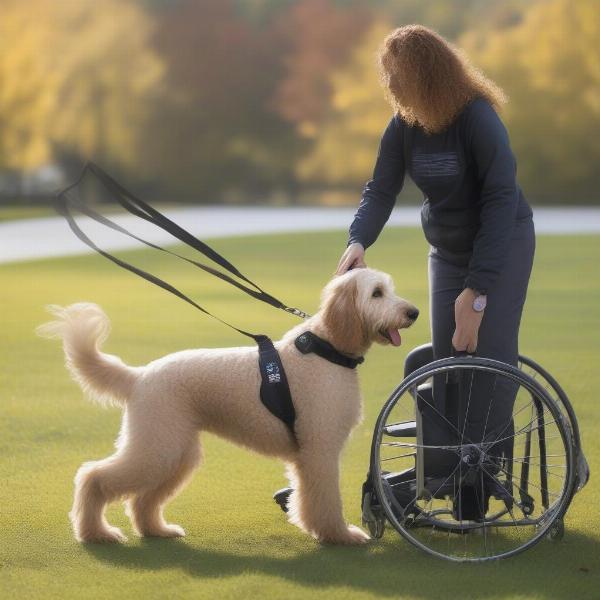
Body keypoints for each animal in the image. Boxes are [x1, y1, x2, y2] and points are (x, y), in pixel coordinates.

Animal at [38, 268, 418, 544]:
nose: (413, 312)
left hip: (175, 454)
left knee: (141, 500)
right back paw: (95, 533)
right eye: (376, 293)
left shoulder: (308, 455)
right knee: (93, 477)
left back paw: (157, 531)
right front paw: (339, 536)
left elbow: (308, 499)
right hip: (156, 449)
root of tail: (140, 376)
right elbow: (324, 501)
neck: (325, 349)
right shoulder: (319, 451)